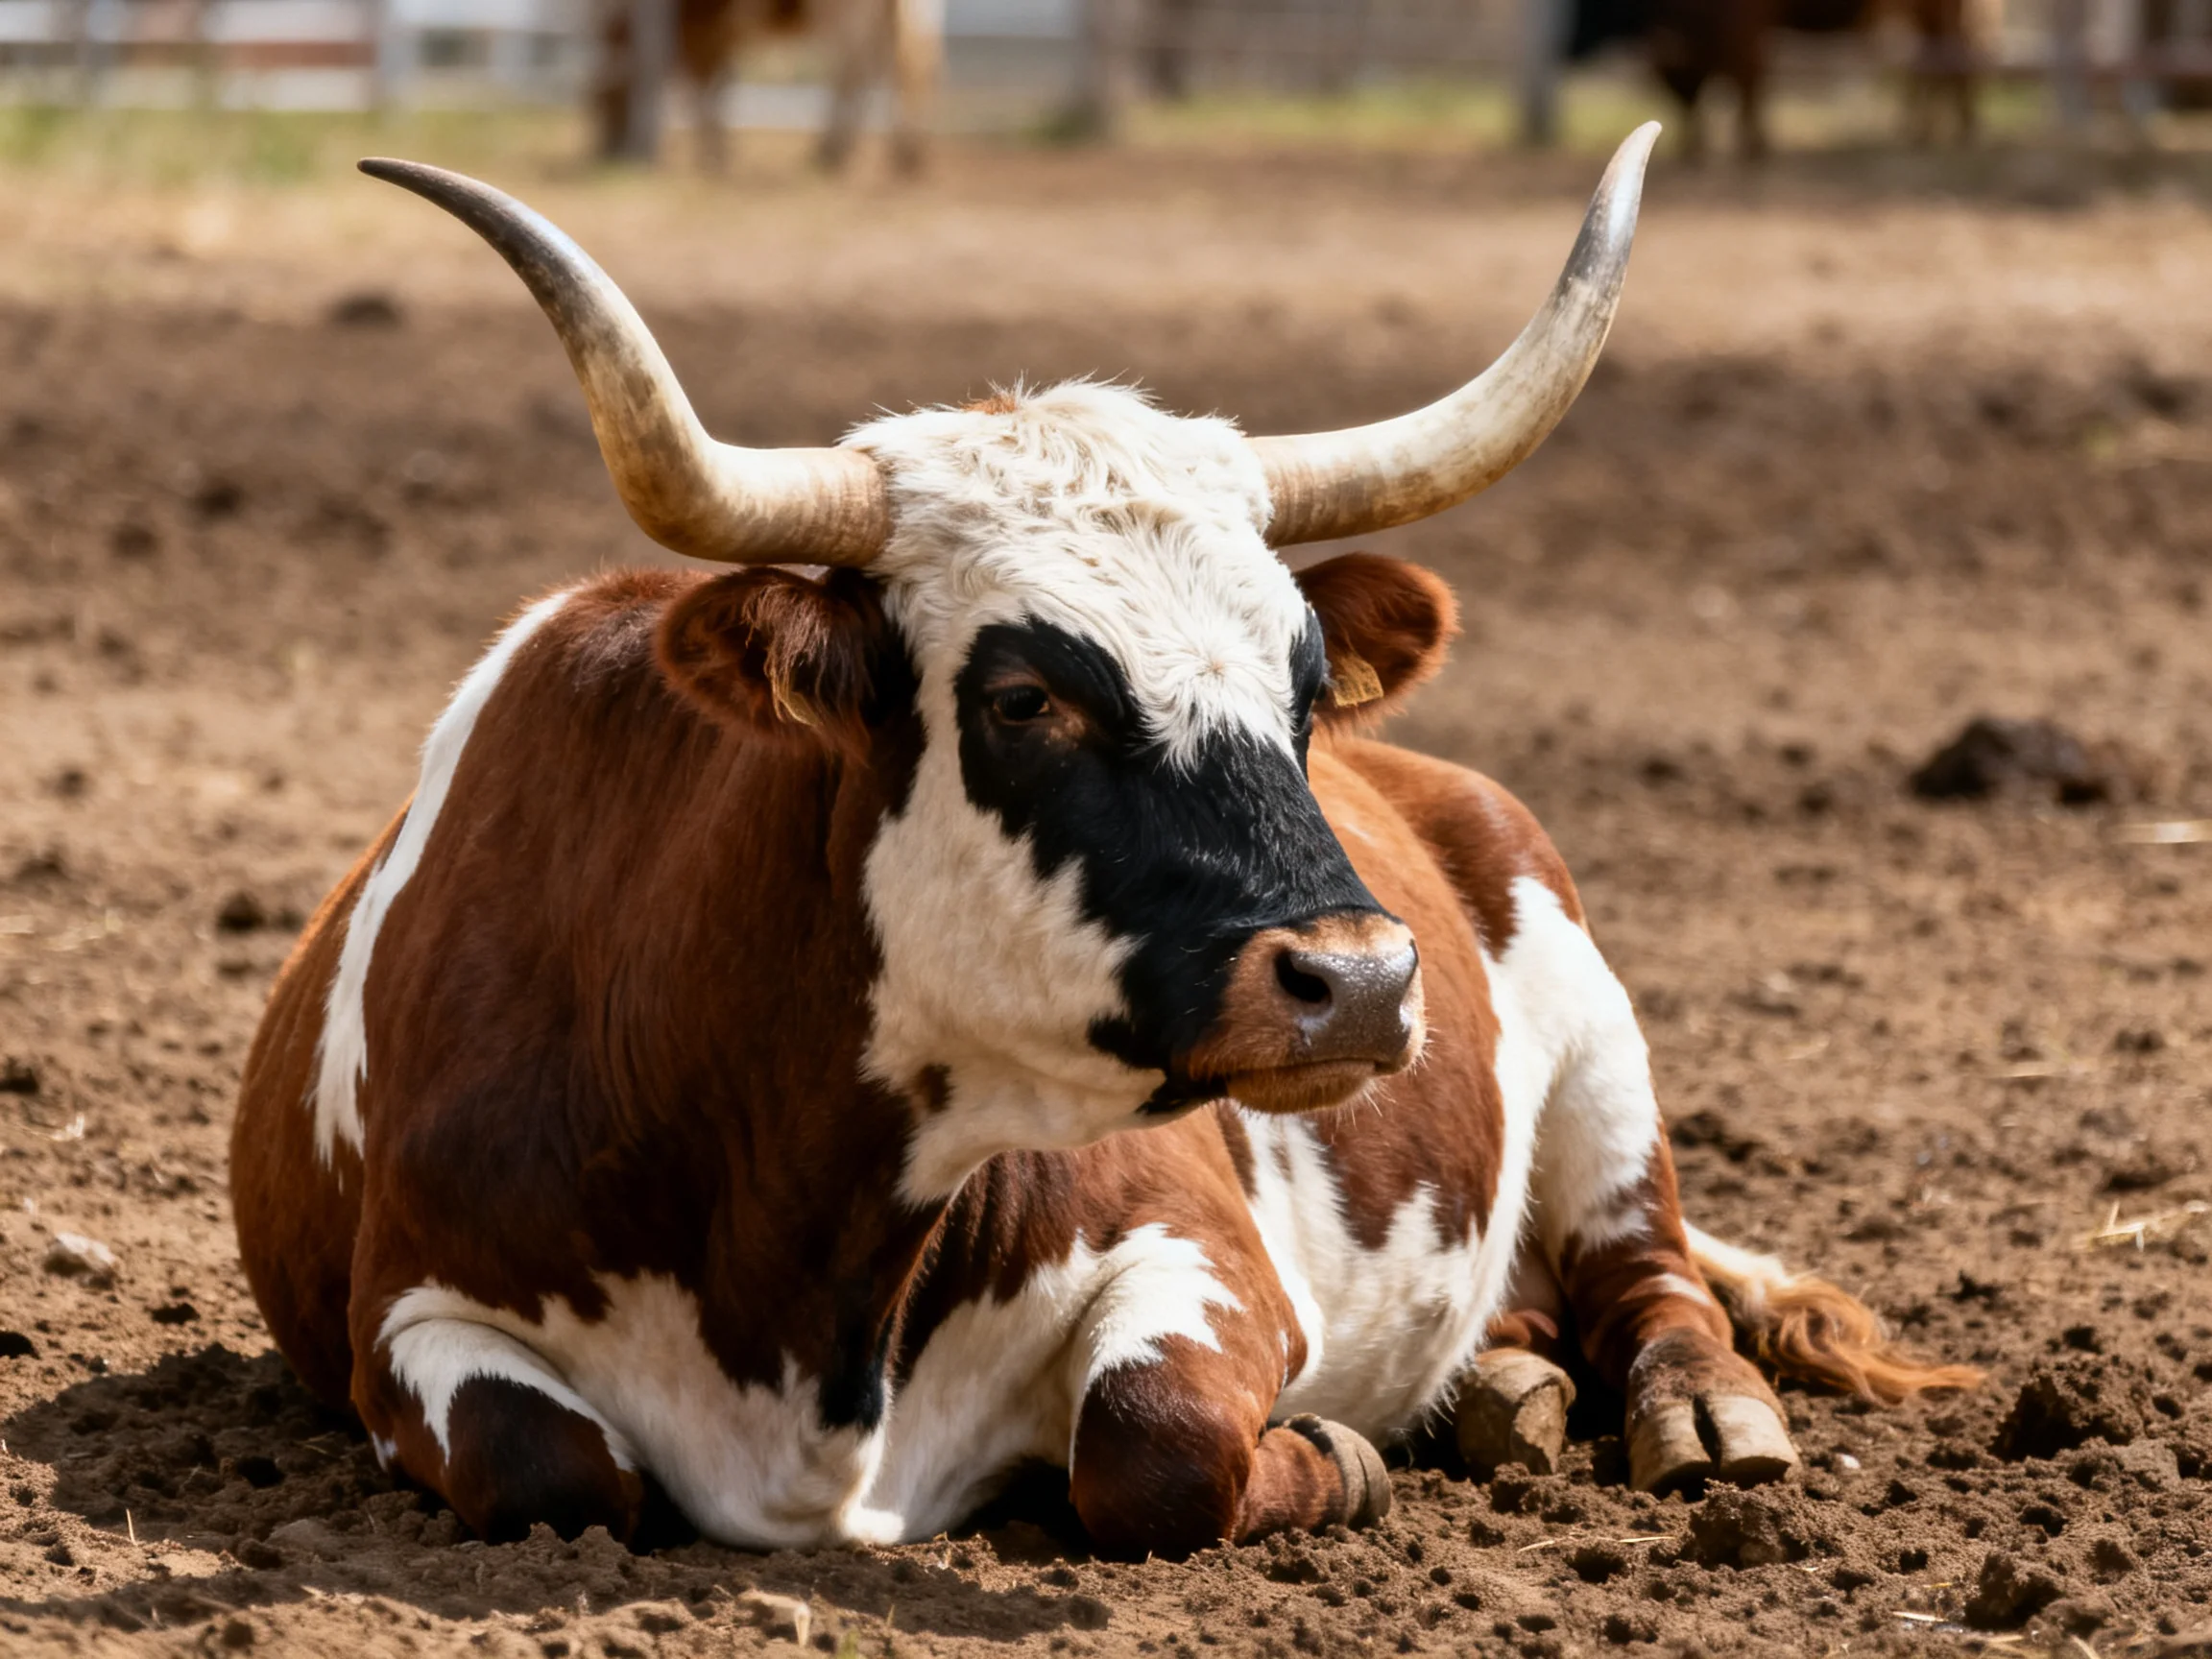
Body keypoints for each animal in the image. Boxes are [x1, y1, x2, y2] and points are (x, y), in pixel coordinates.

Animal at [230, 124, 1975, 1556]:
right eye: (1022, 698)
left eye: (1302, 684)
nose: (1359, 980)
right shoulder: (413, 1321)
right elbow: (548, 1469)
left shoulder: (1202, 1253)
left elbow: (1153, 1443)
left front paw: (1332, 1453)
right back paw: (1502, 1380)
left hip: (1602, 1052)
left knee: (1647, 1270)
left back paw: (1694, 1411)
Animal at [590, 0, 939, 174]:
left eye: (605, 99)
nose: (607, 148)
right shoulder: (717, 34)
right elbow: (719, 88)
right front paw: (721, 151)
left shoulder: (700, 29)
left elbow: (705, 91)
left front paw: (712, 156)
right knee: (905, 58)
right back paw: (908, 153)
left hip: (847, 13)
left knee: (856, 65)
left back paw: (831, 150)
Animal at [1569, 0, 1985, 159]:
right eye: (1664, 81)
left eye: (1676, 76)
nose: (1691, 151)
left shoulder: (1746, 28)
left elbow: (1749, 84)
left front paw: (1753, 147)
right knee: (1934, 67)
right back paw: (1923, 132)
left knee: (1956, 60)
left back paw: (1962, 132)